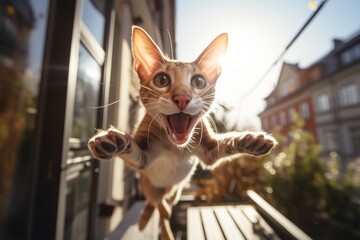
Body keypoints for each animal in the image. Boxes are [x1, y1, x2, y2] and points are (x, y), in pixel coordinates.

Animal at [88, 26, 278, 240]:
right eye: (162, 80)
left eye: (199, 81)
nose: (182, 98)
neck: (175, 147)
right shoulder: (144, 160)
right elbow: (134, 151)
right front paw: (113, 143)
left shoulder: (208, 153)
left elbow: (226, 142)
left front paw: (250, 140)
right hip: (148, 184)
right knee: (156, 203)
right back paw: (152, 219)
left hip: (176, 191)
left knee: (164, 206)